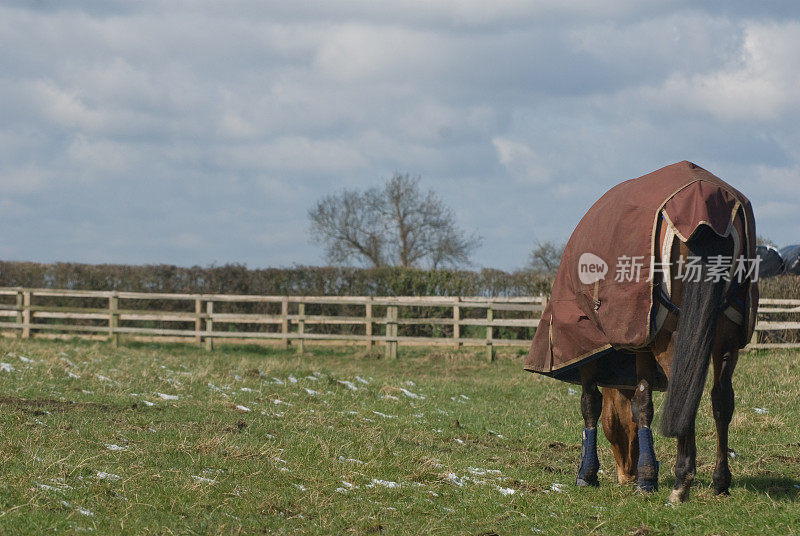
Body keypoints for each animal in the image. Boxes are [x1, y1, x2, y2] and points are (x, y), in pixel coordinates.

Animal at [528, 161, 760, 504]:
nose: (626, 474)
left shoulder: (591, 347)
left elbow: (591, 404)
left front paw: (589, 473)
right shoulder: (641, 346)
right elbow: (643, 404)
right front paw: (647, 477)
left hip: (674, 339)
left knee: (685, 393)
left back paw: (681, 482)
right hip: (726, 340)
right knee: (721, 400)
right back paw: (720, 481)